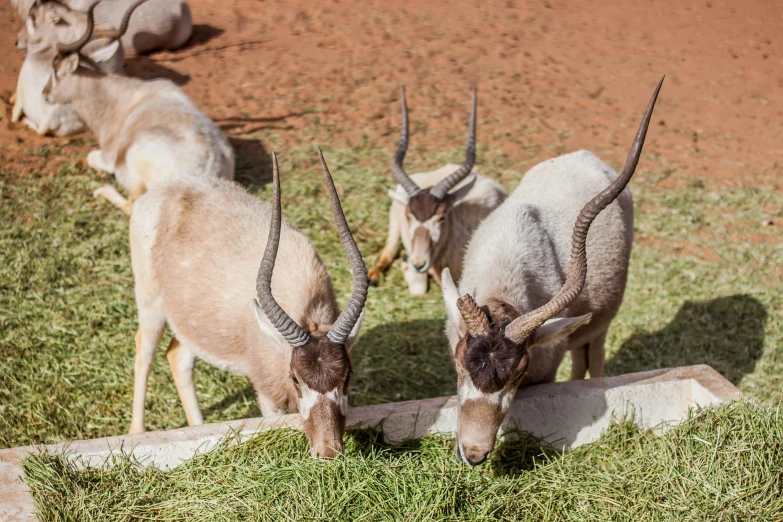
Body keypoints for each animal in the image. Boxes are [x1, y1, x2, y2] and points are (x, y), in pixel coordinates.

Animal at [41, 1, 234, 213]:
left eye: (55, 70)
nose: (45, 93)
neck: (117, 98)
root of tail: (209, 170)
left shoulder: (108, 157)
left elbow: (91, 157)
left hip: (135, 162)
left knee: (132, 205)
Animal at [130, 147, 370, 456]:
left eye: (347, 375)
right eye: (295, 378)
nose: (327, 451)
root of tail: (164, 188)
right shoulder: (268, 393)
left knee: (178, 355)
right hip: (151, 305)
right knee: (144, 353)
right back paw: (137, 432)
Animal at [444, 76, 664, 464]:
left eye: (518, 375)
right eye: (459, 364)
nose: (473, 453)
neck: (504, 277)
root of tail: (585, 157)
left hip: (601, 324)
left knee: (591, 356)